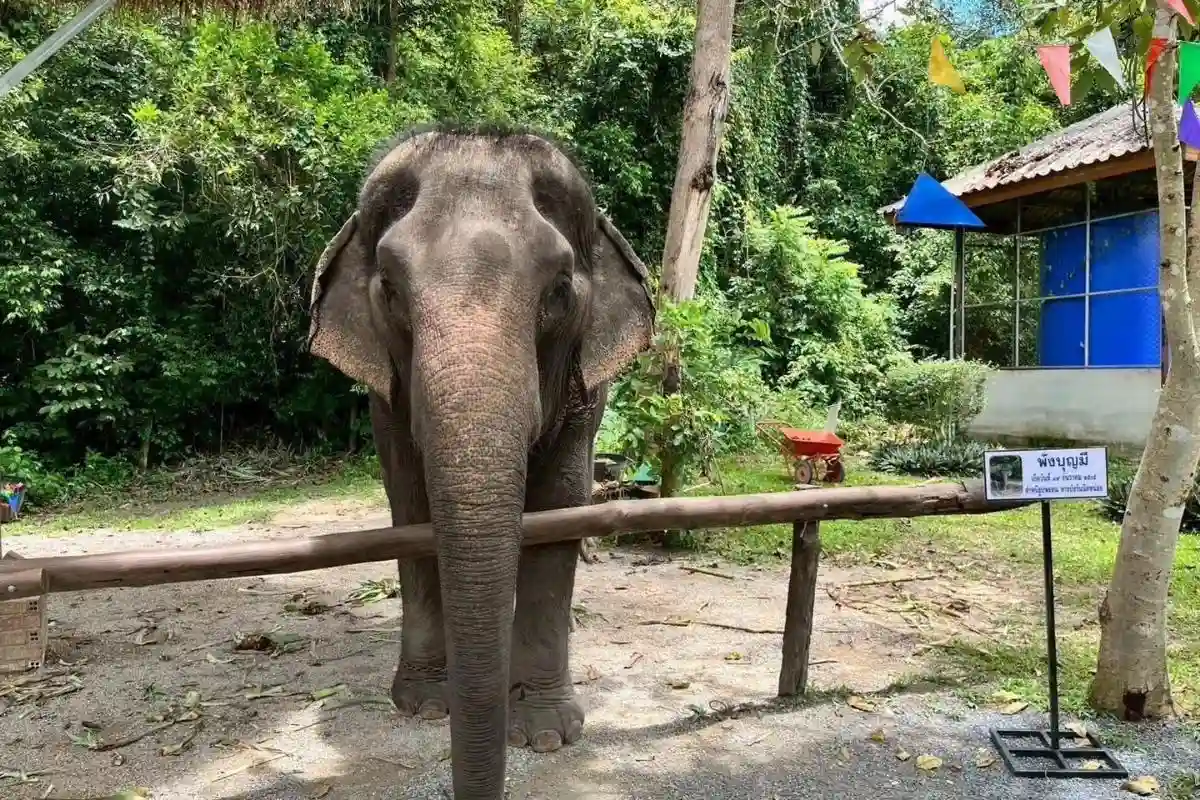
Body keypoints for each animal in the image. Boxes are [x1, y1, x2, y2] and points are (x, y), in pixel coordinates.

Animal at [306, 124, 655, 799]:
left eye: (559, 290)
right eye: (390, 290)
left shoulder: (586, 391)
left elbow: (561, 502)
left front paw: (544, 734)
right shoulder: (386, 396)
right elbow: (409, 501)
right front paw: (423, 704)